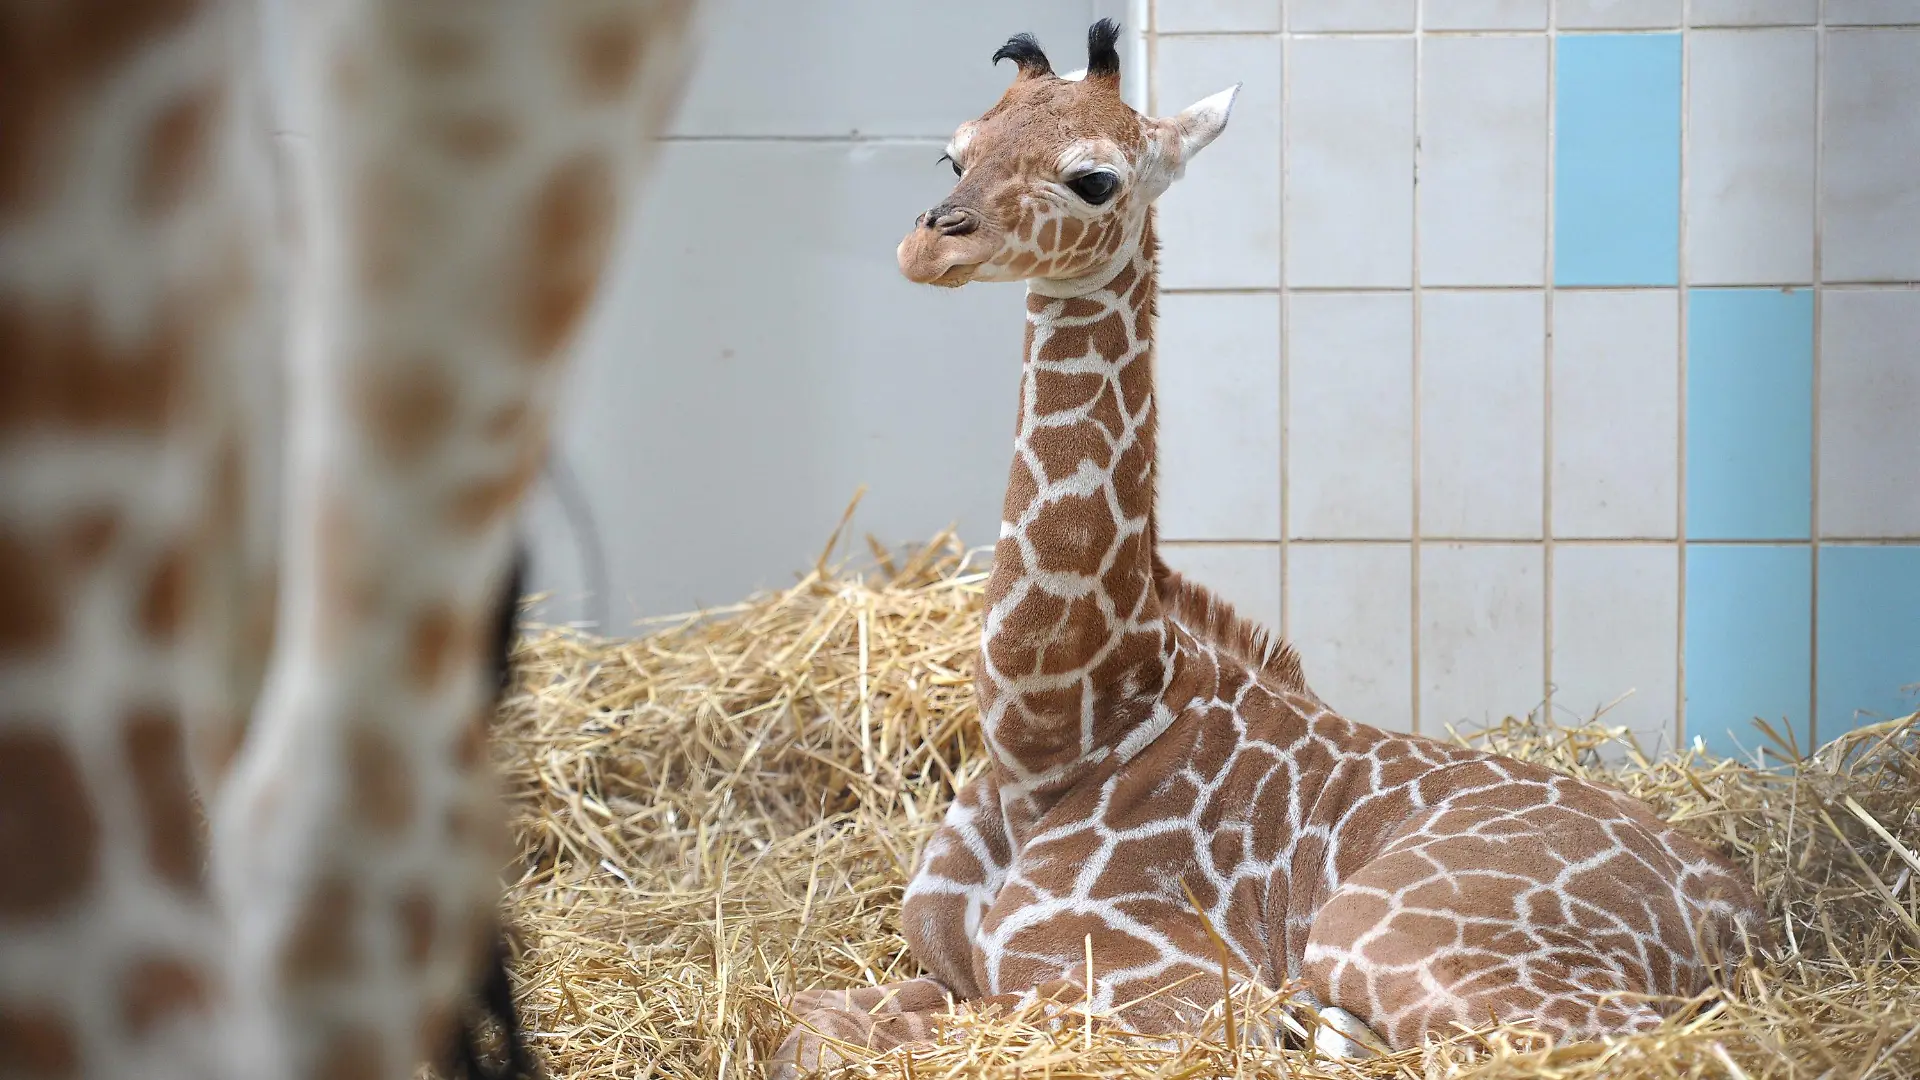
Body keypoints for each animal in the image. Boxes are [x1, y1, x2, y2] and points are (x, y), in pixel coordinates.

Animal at [770, 21, 1770, 1076]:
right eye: (954, 154)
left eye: (1096, 178)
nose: (929, 241)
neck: (1052, 737)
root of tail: (1734, 906)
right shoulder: (951, 965)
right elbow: (804, 1017)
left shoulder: (1165, 990)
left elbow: (842, 1032)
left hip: (1384, 935)